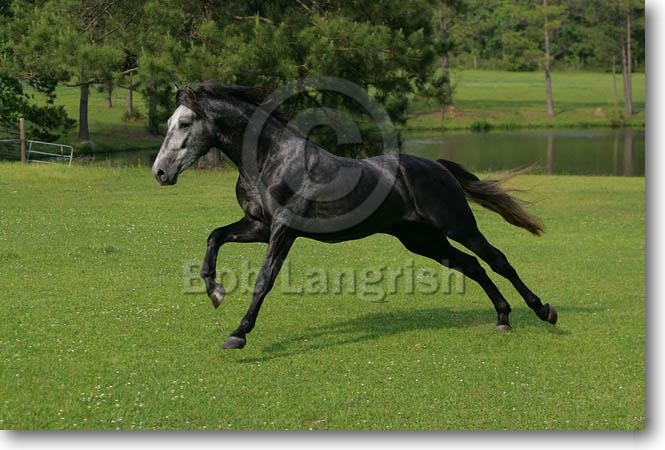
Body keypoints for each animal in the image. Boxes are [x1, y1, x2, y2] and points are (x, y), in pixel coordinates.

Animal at [152, 81, 557, 349]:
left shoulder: (283, 230)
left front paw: (238, 333)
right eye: (171, 123)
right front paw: (215, 292)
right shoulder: (258, 226)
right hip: (422, 240)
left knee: (497, 259)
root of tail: (438, 166)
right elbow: (214, 237)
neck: (272, 159)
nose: (160, 173)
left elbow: (264, 279)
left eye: (185, 124)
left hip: (457, 225)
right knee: (472, 265)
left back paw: (543, 310)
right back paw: (502, 318)